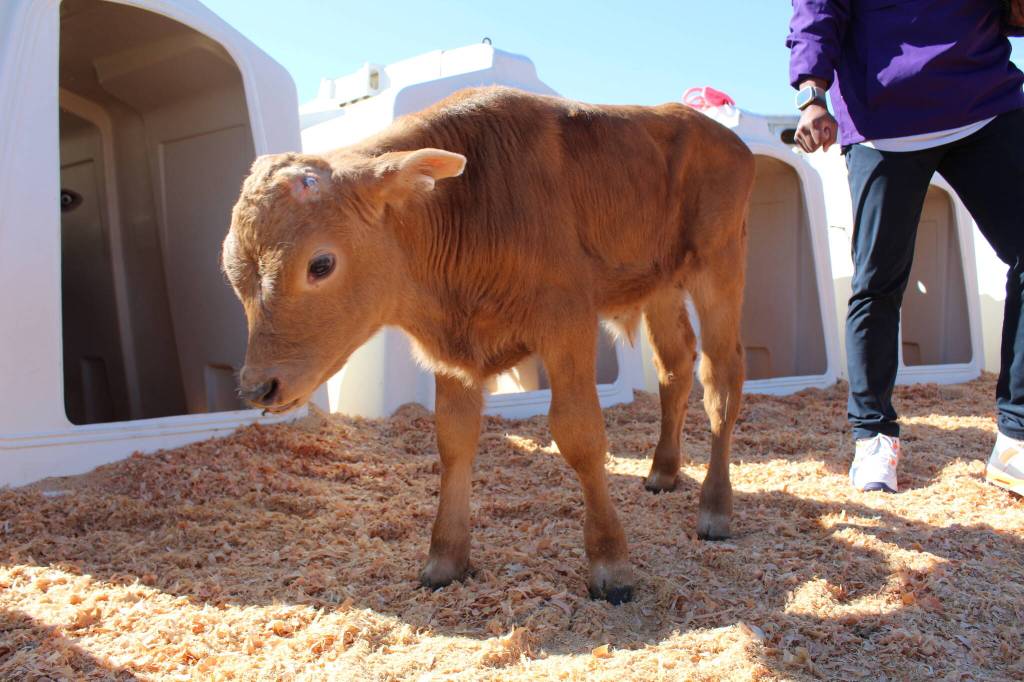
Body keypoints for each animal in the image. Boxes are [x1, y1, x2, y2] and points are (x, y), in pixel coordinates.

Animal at [222, 86, 754, 604]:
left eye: (320, 264)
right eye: (230, 271)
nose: (257, 387)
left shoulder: (567, 324)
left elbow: (579, 435)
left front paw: (611, 564)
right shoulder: (453, 352)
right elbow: (454, 439)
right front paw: (445, 559)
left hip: (719, 269)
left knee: (721, 380)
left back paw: (715, 508)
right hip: (662, 287)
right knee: (675, 368)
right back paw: (663, 472)